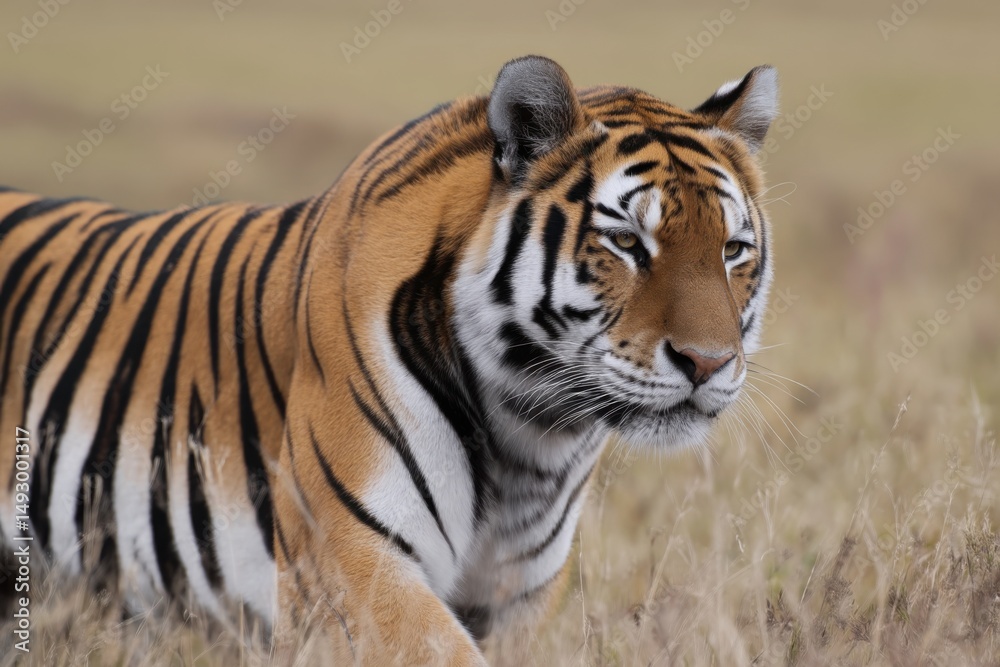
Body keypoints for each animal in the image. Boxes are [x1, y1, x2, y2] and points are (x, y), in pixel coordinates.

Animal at [0, 55, 778, 664]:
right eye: (626, 243)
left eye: (732, 249)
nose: (708, 363)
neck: (531, 430)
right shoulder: (352, 562)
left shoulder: (515, 595)